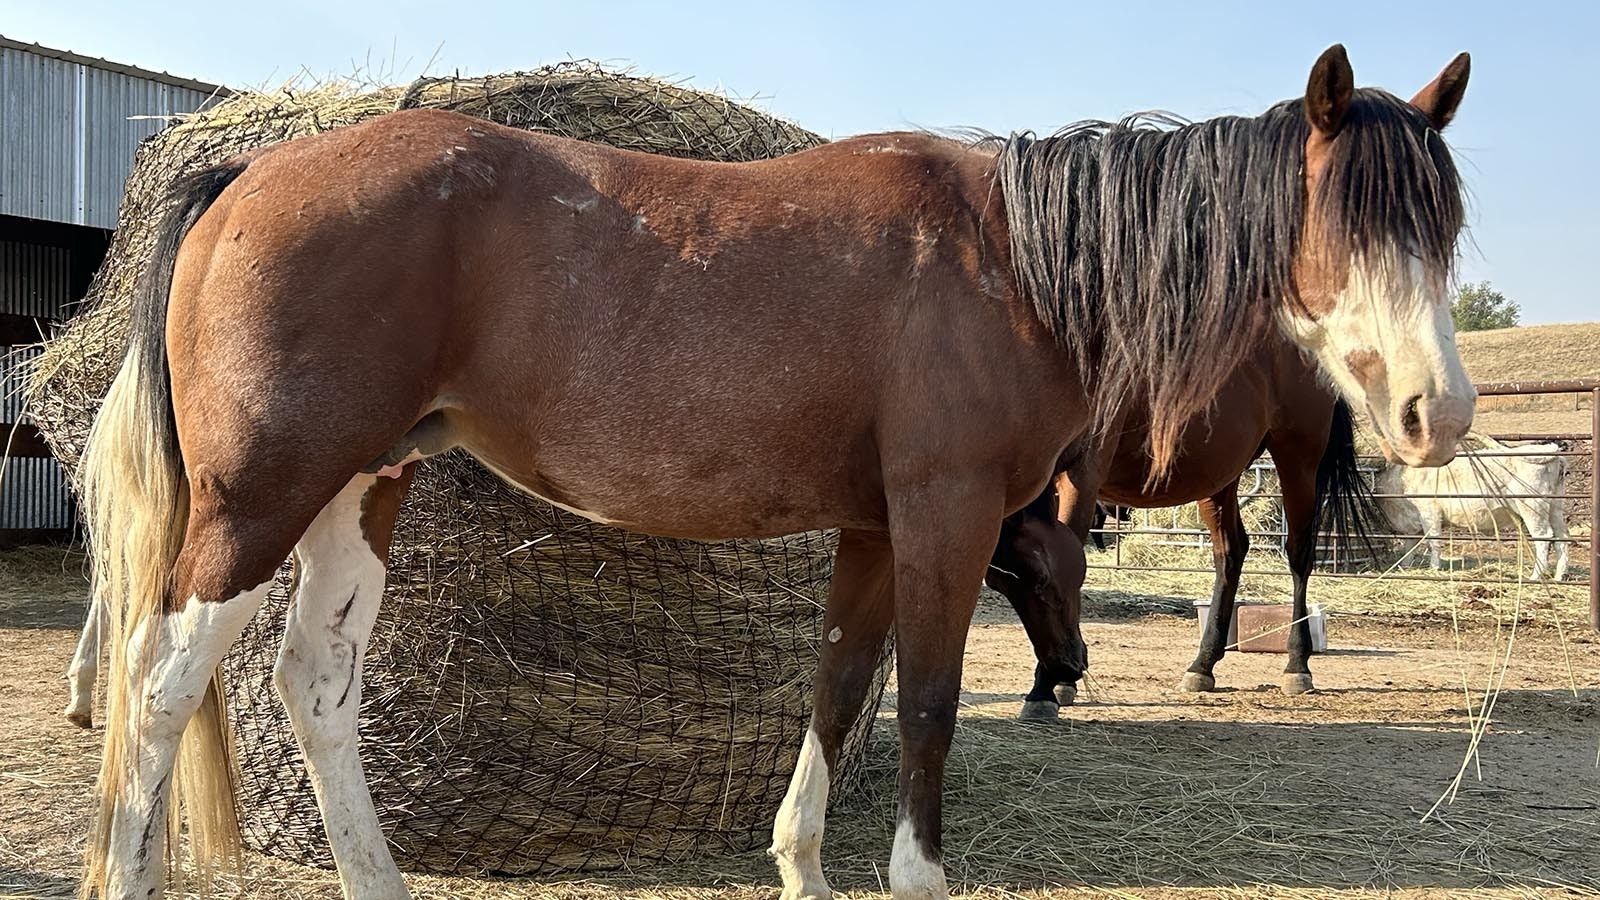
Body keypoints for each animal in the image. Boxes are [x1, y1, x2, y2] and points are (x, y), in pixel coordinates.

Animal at [979, 333, 1382, 717]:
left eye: (1041, 580)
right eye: (998, 584)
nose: (1065, 666)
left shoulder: (1081, 473)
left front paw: (1048, 687)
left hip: (1298, 460)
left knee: (1299, 555)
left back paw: (1297, 664)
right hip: (1219, 473)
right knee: (1231, 551)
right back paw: (1202, 665)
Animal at [1376, 435, 1574, 582]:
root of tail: (1551, 451)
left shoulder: (1429, 513)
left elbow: (1433, 543)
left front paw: (1433, 569)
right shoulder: (1412, 524)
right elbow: (1409, 546)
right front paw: (1405, 566)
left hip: (1532, 507)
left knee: (1544, 537)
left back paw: (1535, 576)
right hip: (1555, 507)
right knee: (1561, 537)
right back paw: (1559, 575)